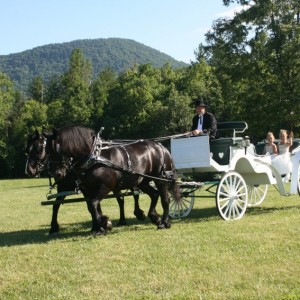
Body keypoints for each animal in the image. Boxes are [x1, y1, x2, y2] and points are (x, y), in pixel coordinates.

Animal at [45, 124, 179, 234]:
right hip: (143, 181)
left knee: (165, 199)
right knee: (155, 194)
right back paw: (155, 217)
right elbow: (92, 207)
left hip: (160, 179)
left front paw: (104, 224)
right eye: (48, 151)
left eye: (57, 150)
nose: (57, 174)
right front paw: (99, 226)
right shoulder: (88, 189)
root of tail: (161, 147)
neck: (95, 157)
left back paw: (164, 222)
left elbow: (93, 204)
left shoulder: (105, 187)